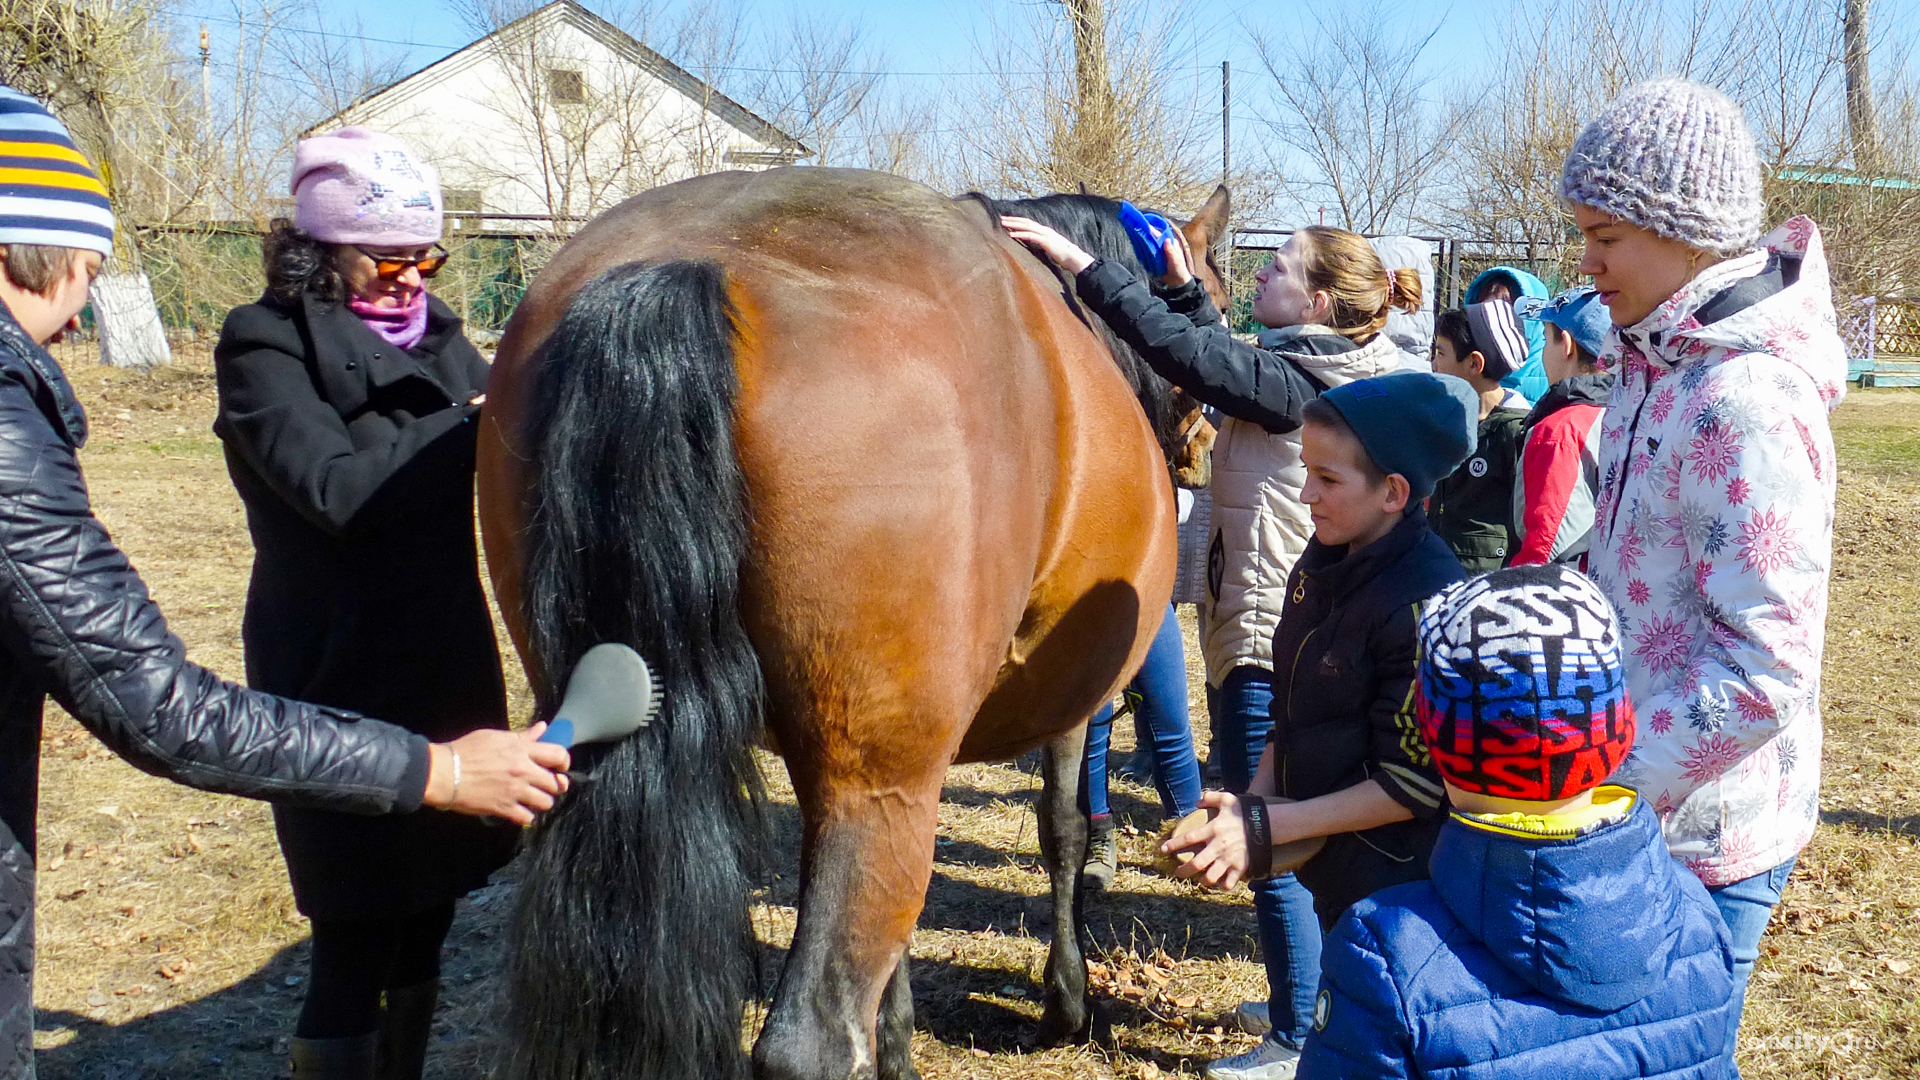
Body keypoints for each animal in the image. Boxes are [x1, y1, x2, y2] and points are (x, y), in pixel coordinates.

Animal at [476, 168, 1228, 1076]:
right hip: (879, 773)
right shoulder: (1057, 709)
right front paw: (1068, 1003)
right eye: (1220, 300)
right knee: (808, 1040)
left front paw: (898, 1046)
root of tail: (682, 265)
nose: (1205, 451)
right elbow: (1066, 829)